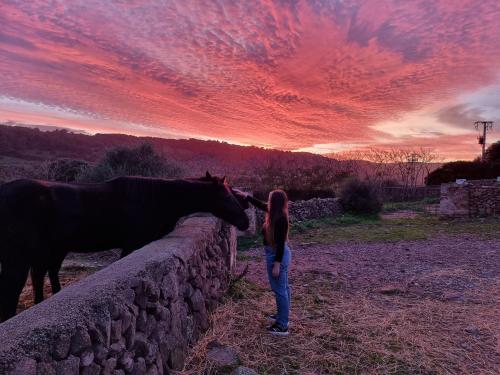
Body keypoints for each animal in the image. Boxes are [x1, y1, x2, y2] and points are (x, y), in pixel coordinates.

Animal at [0, 173, 249, 324]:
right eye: (226, 197)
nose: (246, 221)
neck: (157, 198)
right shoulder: (132, 244)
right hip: (19, 258)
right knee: (13, 290)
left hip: (50, 250)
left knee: (40, 275)